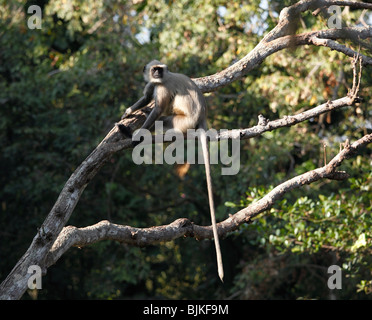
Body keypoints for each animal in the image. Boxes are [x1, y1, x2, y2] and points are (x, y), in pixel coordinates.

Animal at [117, 60, 224, 282]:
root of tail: (202, 117)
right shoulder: (153, 84)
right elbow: (146, 98)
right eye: (154, 69)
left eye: (160, 69)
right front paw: (128, 111)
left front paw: (135, 132)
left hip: (182, 122)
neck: (161, 80)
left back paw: (132, 134)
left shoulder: (163, 87)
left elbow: (157, 110)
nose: (158, 73)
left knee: (163, 118)